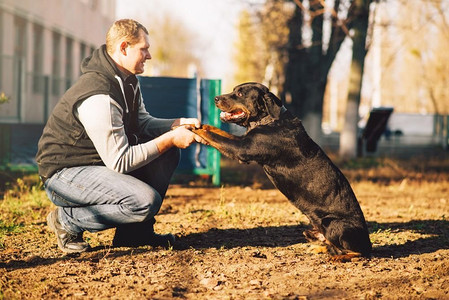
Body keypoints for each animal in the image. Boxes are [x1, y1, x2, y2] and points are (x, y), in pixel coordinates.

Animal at [192, 81, 372, 260]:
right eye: (233, 90)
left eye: (240, 94)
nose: (216, 98)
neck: (268, 120)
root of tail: (368, 243)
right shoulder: (243, 141)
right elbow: (218, 132)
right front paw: (200, 124)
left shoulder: (242, 149)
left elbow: (217, 137)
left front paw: (193, 128)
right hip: (313, 230)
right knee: (333, 246)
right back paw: (318, 249)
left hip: (333, 223)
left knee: (356, 252)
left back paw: (339, 257)